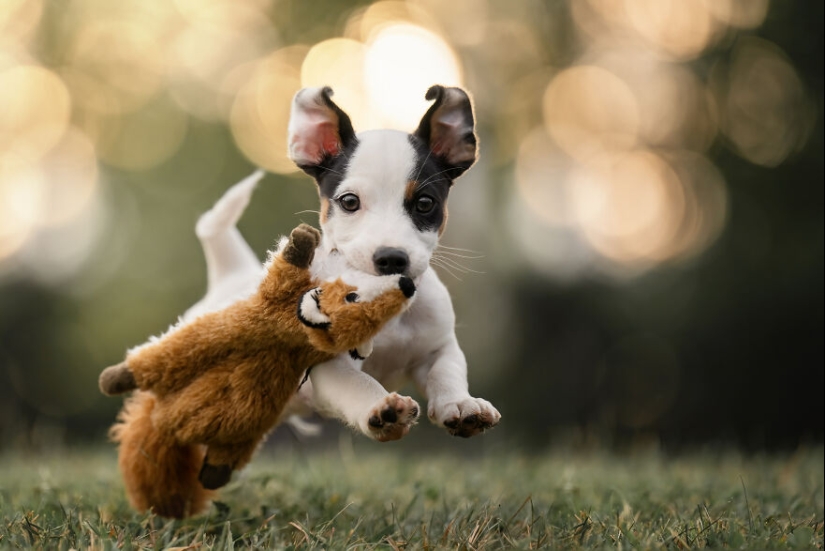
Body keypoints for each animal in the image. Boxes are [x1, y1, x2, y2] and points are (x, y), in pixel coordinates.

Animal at [190, 86, 498, 444]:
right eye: (349, 201)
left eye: (425, 203)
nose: (391, 257)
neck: (386, 300)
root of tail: (232, 275)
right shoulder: (330, 366)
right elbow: (359, 384)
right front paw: (380, 408)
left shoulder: (437, 346)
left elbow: (447, 371)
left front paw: (460, 404)